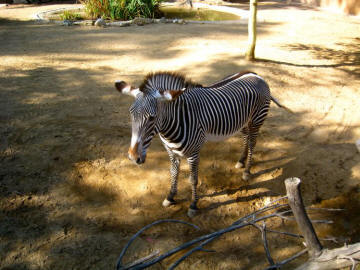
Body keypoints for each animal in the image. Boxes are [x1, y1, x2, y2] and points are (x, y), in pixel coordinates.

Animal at [115, 71, 290, 217]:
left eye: (152, 118)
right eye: (131, 113)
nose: (133, 157)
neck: (172, 125)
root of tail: (257, 75)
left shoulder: (193, 153)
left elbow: (193, 179)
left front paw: (193, 205)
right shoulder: (171, 152)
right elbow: (173, 173)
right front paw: (170, 197)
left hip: (256, 119)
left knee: (253, 142)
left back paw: (247, 171)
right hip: (243, 121)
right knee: (246, 138)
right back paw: (241, 161)